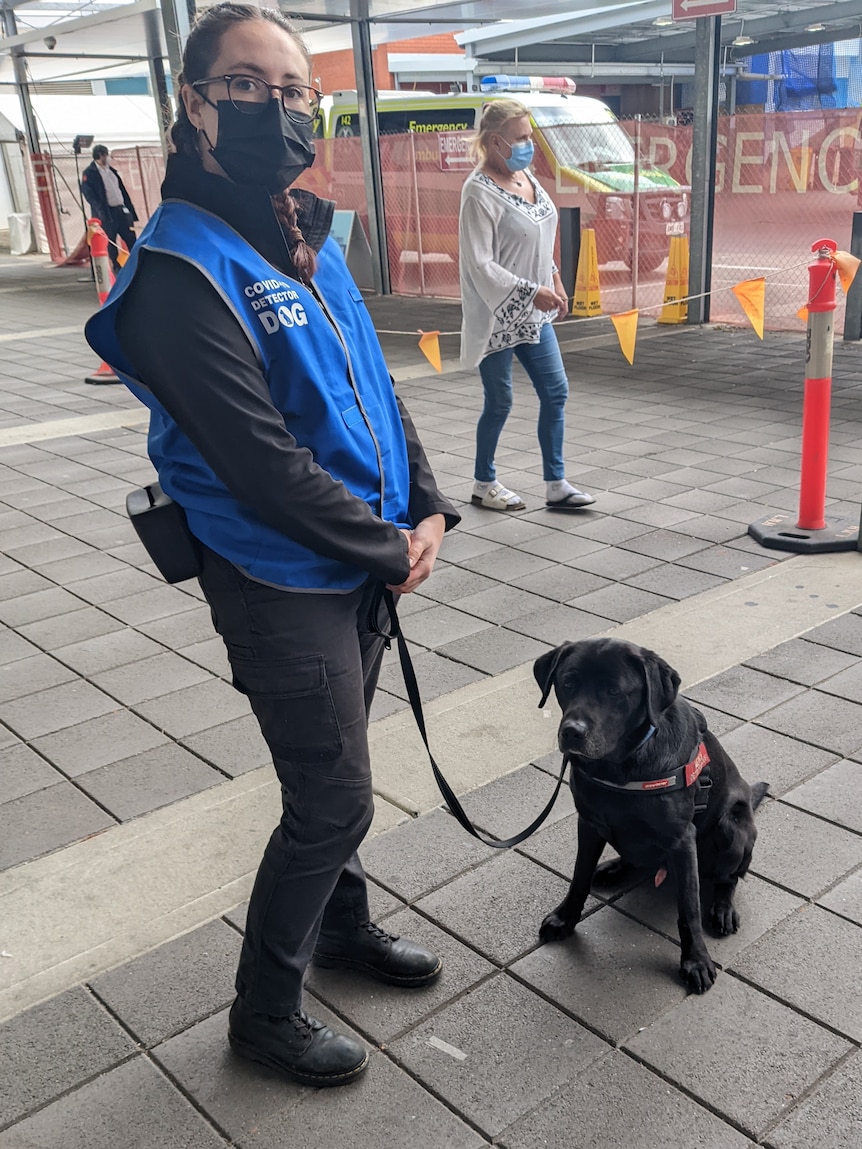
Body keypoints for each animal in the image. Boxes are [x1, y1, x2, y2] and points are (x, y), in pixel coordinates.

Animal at [533, 643, 767, 992]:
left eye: (614, 691)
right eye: (567, 682)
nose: (572, 732)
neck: (620, 766)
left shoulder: (682, 840)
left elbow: (688, 909)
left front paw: (696, 960)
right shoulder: (588, 823)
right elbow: (578, 877)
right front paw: (566, 918)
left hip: (732, 830)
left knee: (729, 878)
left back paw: (723, 909)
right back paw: (614, 868)